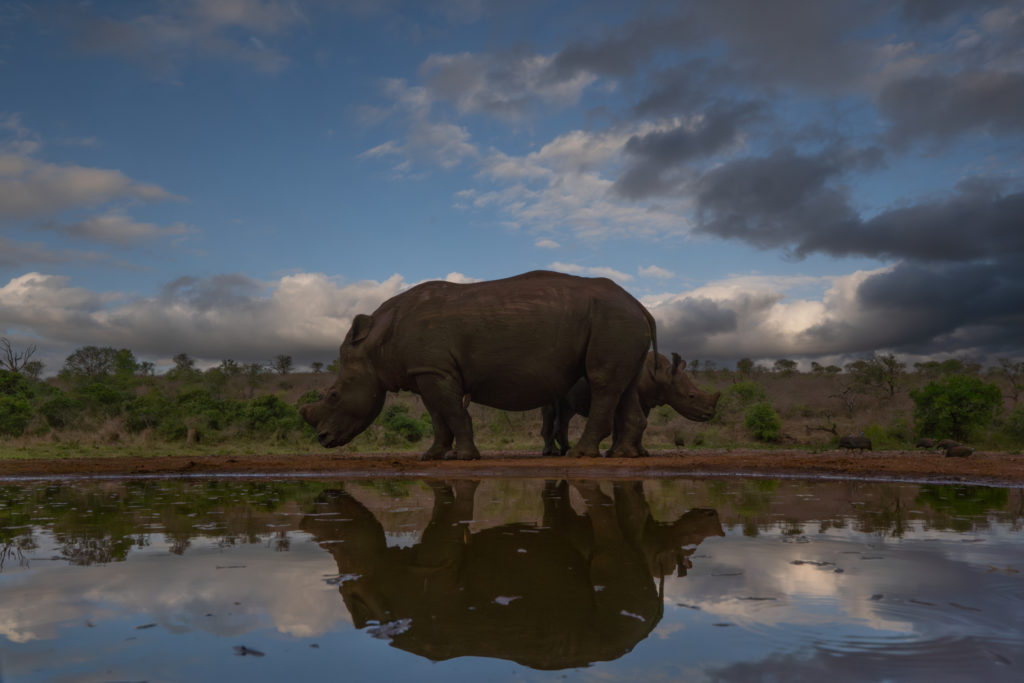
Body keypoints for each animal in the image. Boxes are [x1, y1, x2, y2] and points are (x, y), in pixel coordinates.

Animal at [301, 270, 655, 458]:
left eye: (333, 396)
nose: (322, 439)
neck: (376, 345)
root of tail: (640, 304)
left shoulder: (434, 370)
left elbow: (454, 414)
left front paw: (464, 457)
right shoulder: (426, 371)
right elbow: (438, 417)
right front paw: (432, 456)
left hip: (612, 318)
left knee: (602, 382)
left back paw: (583, 454)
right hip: (620, 322)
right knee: (624, 385)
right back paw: (620, 455)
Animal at [544, 352, 720, 458]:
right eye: (691, 396)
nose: (710, 414)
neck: (661, 374)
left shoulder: (646, 401)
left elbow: (640, 422)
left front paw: (641, 452)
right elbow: (623, 424)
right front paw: (614, 453)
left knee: (566, 414)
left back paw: (565, 450)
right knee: (551, 411)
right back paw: (553, 452)